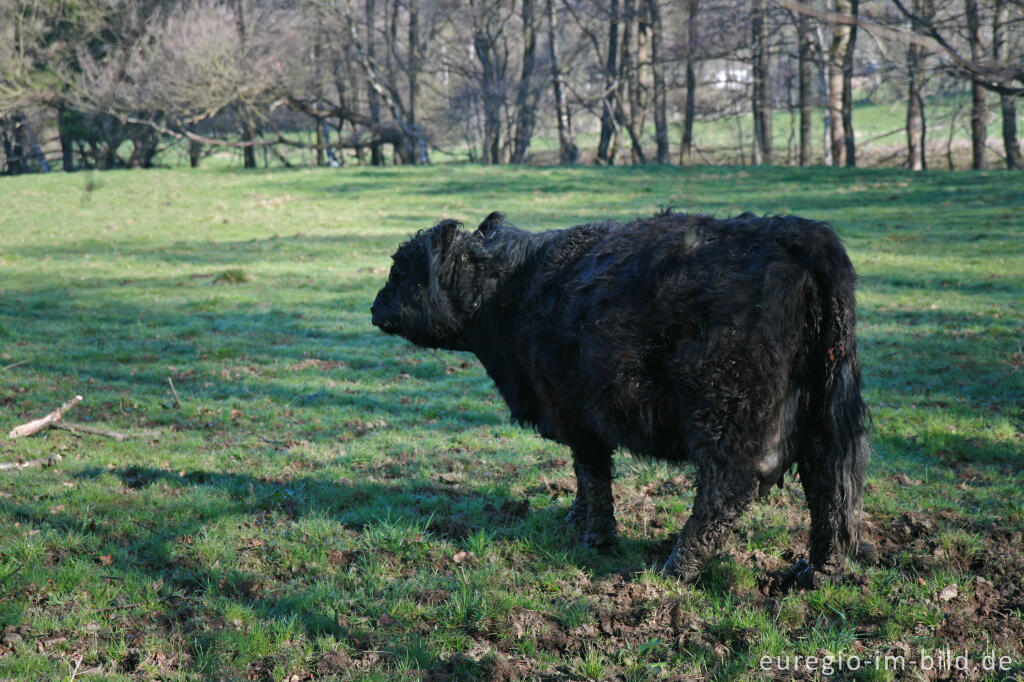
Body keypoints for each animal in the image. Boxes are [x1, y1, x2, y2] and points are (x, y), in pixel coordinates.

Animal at [372, 209, 868, 581]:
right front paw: (574, 520)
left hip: (725, 410)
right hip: (821, 410)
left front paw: (597, 538)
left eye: (401, 269)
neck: (512, 291)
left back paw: (678, 566)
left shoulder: (574, 411)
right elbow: (583, 477)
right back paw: (818, 572)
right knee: (828, 485)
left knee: (728, 487)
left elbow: (592, 475)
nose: (374, 308)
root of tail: (797, 233)